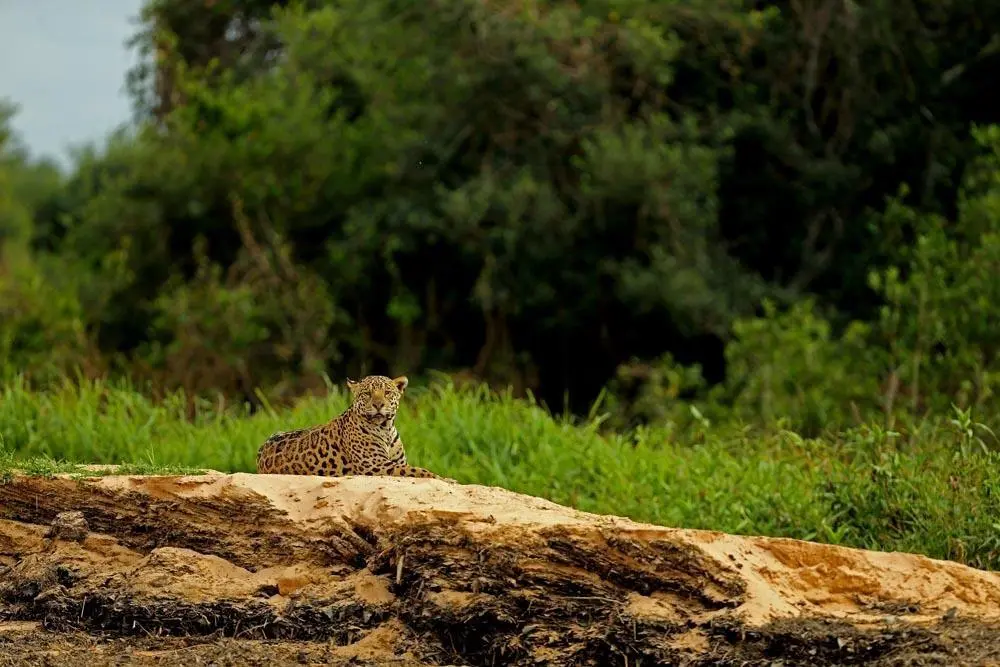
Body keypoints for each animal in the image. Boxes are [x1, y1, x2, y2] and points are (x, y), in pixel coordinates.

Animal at [255, 374, 447, 480]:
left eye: (387, 393)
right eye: (367, 394)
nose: (378, 405)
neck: (385, 428)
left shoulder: (395, 462)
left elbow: (414, 469)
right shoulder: (375, 465)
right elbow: (418, 470)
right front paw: (445, 479)